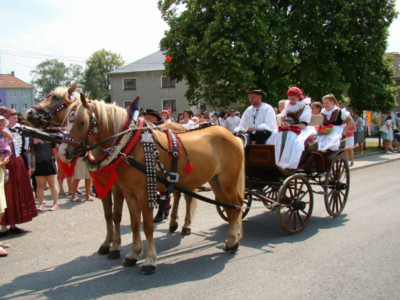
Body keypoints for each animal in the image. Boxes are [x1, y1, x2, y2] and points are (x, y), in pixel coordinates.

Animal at [56, 96, 244, 274]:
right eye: (66, 122)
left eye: (82, 122)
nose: (62, 153)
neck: (129, 146)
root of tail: (232, 135)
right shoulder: (128, 192)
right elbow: (132, 223)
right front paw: (132, 254)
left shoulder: (142, 193)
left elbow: (146, 226)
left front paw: (149, 260)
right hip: (215, 181)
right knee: (227, 208)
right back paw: (226, 239)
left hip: (228, 181)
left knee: (236, 206)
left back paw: (232, 241)